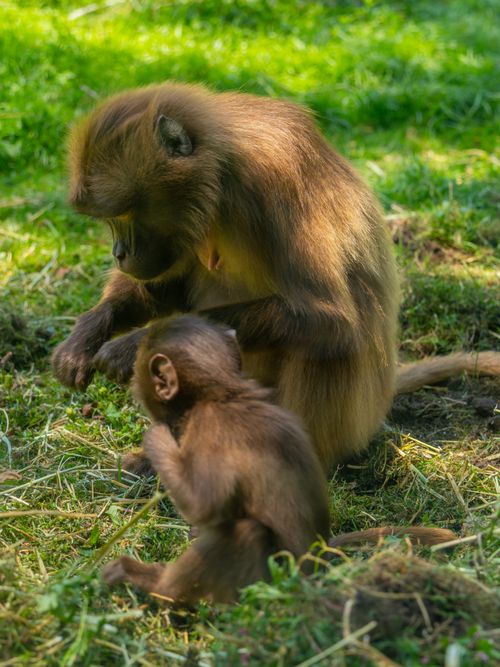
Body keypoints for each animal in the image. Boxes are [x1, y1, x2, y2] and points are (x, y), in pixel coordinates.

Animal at [52, 81, 500, 471]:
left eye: (125, 217)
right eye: (110, 221)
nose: (119, 253)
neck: (223, 176)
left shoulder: (273, 182)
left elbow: (332, 320)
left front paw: (135, 344)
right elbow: (168, 289)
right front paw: (88, 334)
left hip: (349, 422)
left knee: (329, 340)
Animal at [102, 315, 456, 605]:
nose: (134, 389)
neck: (224, 393)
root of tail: (319, 553)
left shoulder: (206, 428)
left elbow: (207, 504)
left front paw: (155, 441)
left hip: (272, 575)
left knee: (246, 533)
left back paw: (156, 585)